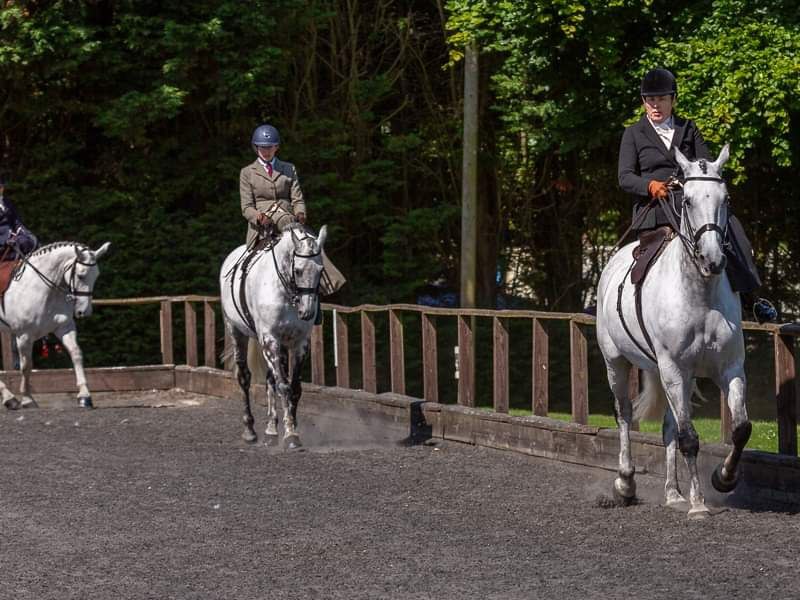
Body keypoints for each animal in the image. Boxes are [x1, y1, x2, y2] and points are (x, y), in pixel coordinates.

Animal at [0, 241, 111, 410]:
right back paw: (9, 398)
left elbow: (76, 353)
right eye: (81, 275)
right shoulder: (24, 335)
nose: (84, 312)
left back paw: (9, 398)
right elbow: (26, 366)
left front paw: (84, 396)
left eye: (97, 275)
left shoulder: (64, 327)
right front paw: (27, 399)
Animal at [219, 226, 324, 450]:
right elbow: (283, 386)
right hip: (237, 331)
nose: (307, 311)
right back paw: (250, 431)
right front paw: (291, 435)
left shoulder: (299, 343)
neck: (287, 293)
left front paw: (291, 427)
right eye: (298, 270)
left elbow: (294, 388)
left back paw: (271, 431)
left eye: (320, 270)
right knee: (244, 377)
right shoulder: (270, 339)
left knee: (270, 380)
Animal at [600, 145, 752, 520]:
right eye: (688, 200)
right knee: (624, 414)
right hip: (617, 363)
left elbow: (740, 428)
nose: (713, 260)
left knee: (669, 426)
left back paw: (673, 493)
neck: (700, 293)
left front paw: (723, 478)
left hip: (672, 373)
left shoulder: (729, 368)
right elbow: (689, 438)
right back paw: (625, 484)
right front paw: (698, 505)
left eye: (726, 199)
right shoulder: (673, 368)